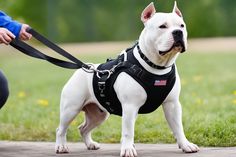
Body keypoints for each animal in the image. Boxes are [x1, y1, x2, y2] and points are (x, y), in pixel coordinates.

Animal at [55, 1, 199, 157]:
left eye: (182, 26)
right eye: (162, 26)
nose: (178, 32)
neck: (157, 66)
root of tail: (84, 68)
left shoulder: (172, 105)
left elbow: (178, 127)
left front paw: (185, 145)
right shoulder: (130, 106)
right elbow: (128, 131)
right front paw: (128, 149)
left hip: (98, 114)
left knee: (83, 128)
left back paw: (90, 144)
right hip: (71, 109)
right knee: (61, 129)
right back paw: (61, 146)